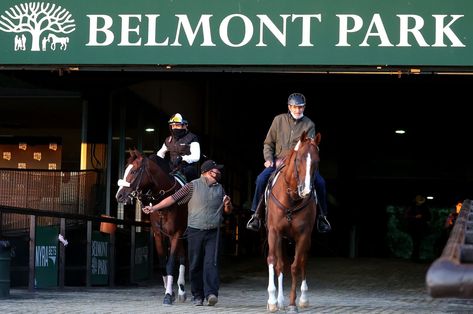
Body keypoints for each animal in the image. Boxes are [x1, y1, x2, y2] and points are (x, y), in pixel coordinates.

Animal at [115, 151, 187, 306]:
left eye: (134, 171)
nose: (119, 195)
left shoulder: (176, 234)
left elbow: (171, 263)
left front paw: (168, 295)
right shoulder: (159, 235)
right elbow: (162, 263)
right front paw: (170, 291)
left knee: (183, 257)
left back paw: (182, 291)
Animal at [264, 131, 318, 312]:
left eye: (317, 161)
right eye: (298, 159)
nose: (306, 190)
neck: (291, 199)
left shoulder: (303, 235)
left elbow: (295, 265)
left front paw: (293, 303)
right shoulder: (274, 232)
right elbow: (273, 261)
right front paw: (273, 301)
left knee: (303, 262)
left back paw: (304, 298)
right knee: (280, 264)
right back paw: (279, 300)